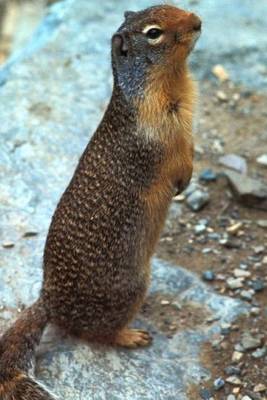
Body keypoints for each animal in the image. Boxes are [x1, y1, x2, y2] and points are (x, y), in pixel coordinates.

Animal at [0, 4, 201, 398]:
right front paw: (182, 183)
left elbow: (191, 151)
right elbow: (176, 163)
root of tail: (49, 301)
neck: (170, 82)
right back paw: (133, 336)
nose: (199, 21)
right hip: (129, 288)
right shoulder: (159, 142)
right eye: (153, 32)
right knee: (94, 334)